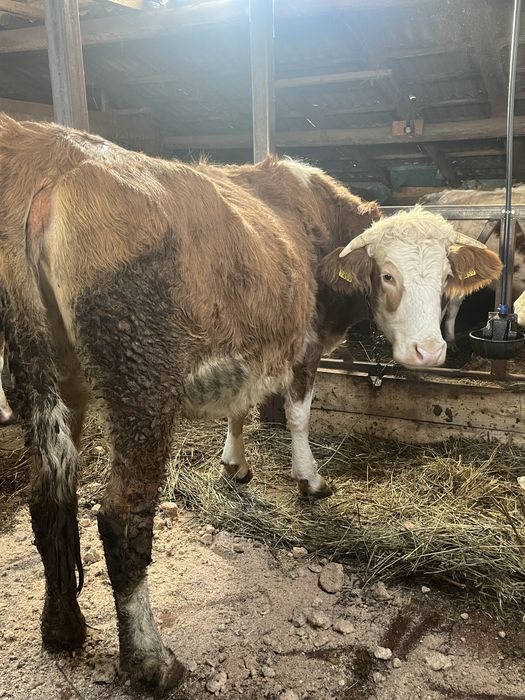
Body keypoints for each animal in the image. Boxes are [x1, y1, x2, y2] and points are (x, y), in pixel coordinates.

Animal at [0, 115, 502, 692]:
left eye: (445, 278)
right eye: (387, 274)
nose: (430, 351)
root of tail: (50, 152)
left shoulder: (250, 345)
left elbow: (239, 407)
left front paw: (235, 464)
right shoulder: (304, 343)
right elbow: (299, 415)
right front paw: (310, 480)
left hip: (47, 377)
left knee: (48, 498)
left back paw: (62, 628)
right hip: (140, 381)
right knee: (121, 515)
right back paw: (151, 660)